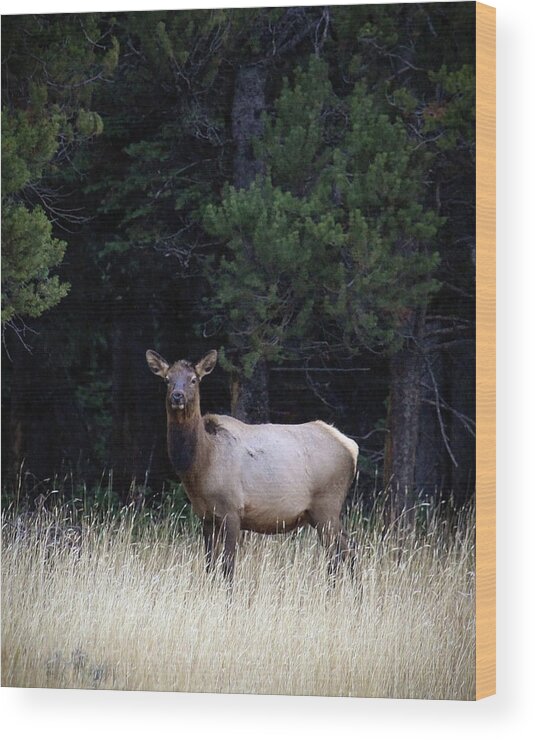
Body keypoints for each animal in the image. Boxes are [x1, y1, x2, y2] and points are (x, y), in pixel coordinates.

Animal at [146, 350, 360, 580]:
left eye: (194, 379)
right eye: (167, 379)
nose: (177, 396)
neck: (201, 464)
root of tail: (351, 447)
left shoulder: (232, 510)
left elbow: (228, 567)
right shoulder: (205, 516)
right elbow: (209, 566)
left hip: (327, 506)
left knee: (341, 555)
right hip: (318, 513)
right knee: (346, 552)